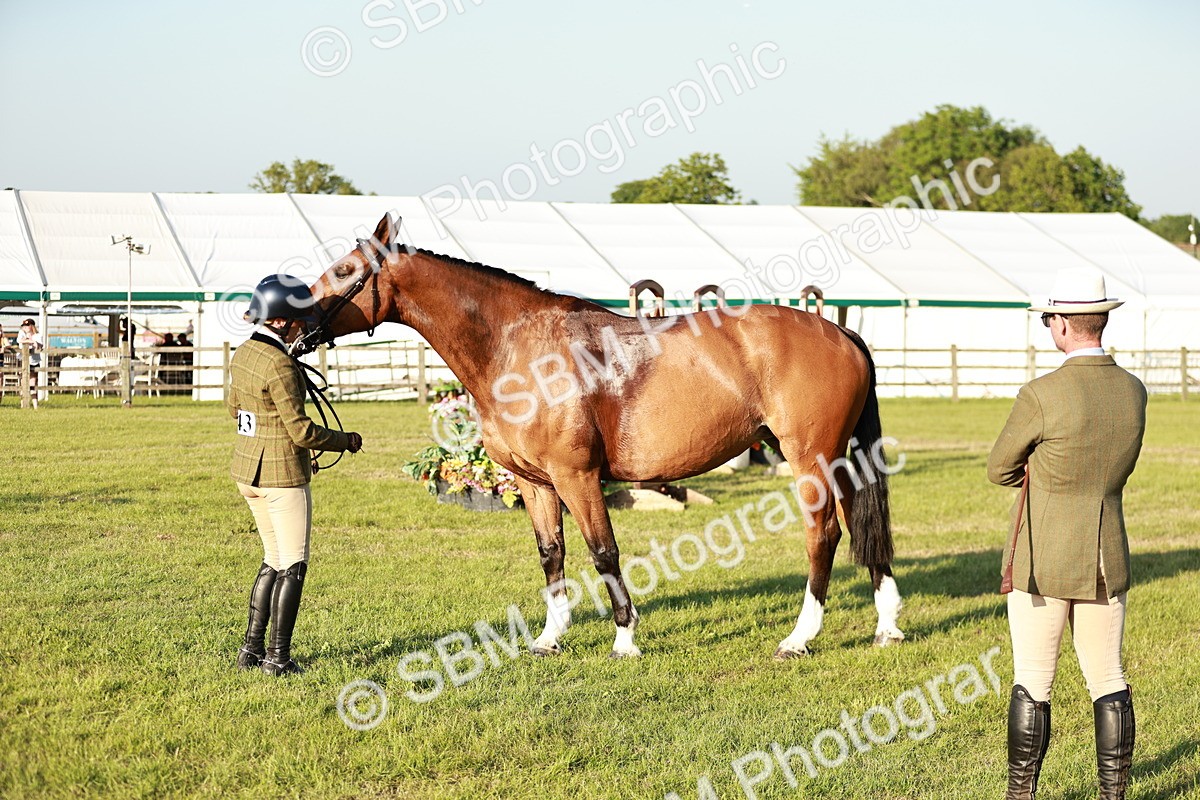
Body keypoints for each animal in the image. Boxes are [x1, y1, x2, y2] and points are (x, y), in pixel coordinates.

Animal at [290, 213, 905, 659]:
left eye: (344, 269)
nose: (285, 322)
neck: (518, 347)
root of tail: (841, 332)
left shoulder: (578, 476)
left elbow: (603, 551)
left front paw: (625, 639)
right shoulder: (535, 482)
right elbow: (552, 554)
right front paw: (548, 639)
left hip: (809, 459)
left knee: (824, 535)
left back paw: (799, 638)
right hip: (836, 460)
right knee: (860, 527)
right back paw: (887, 627)